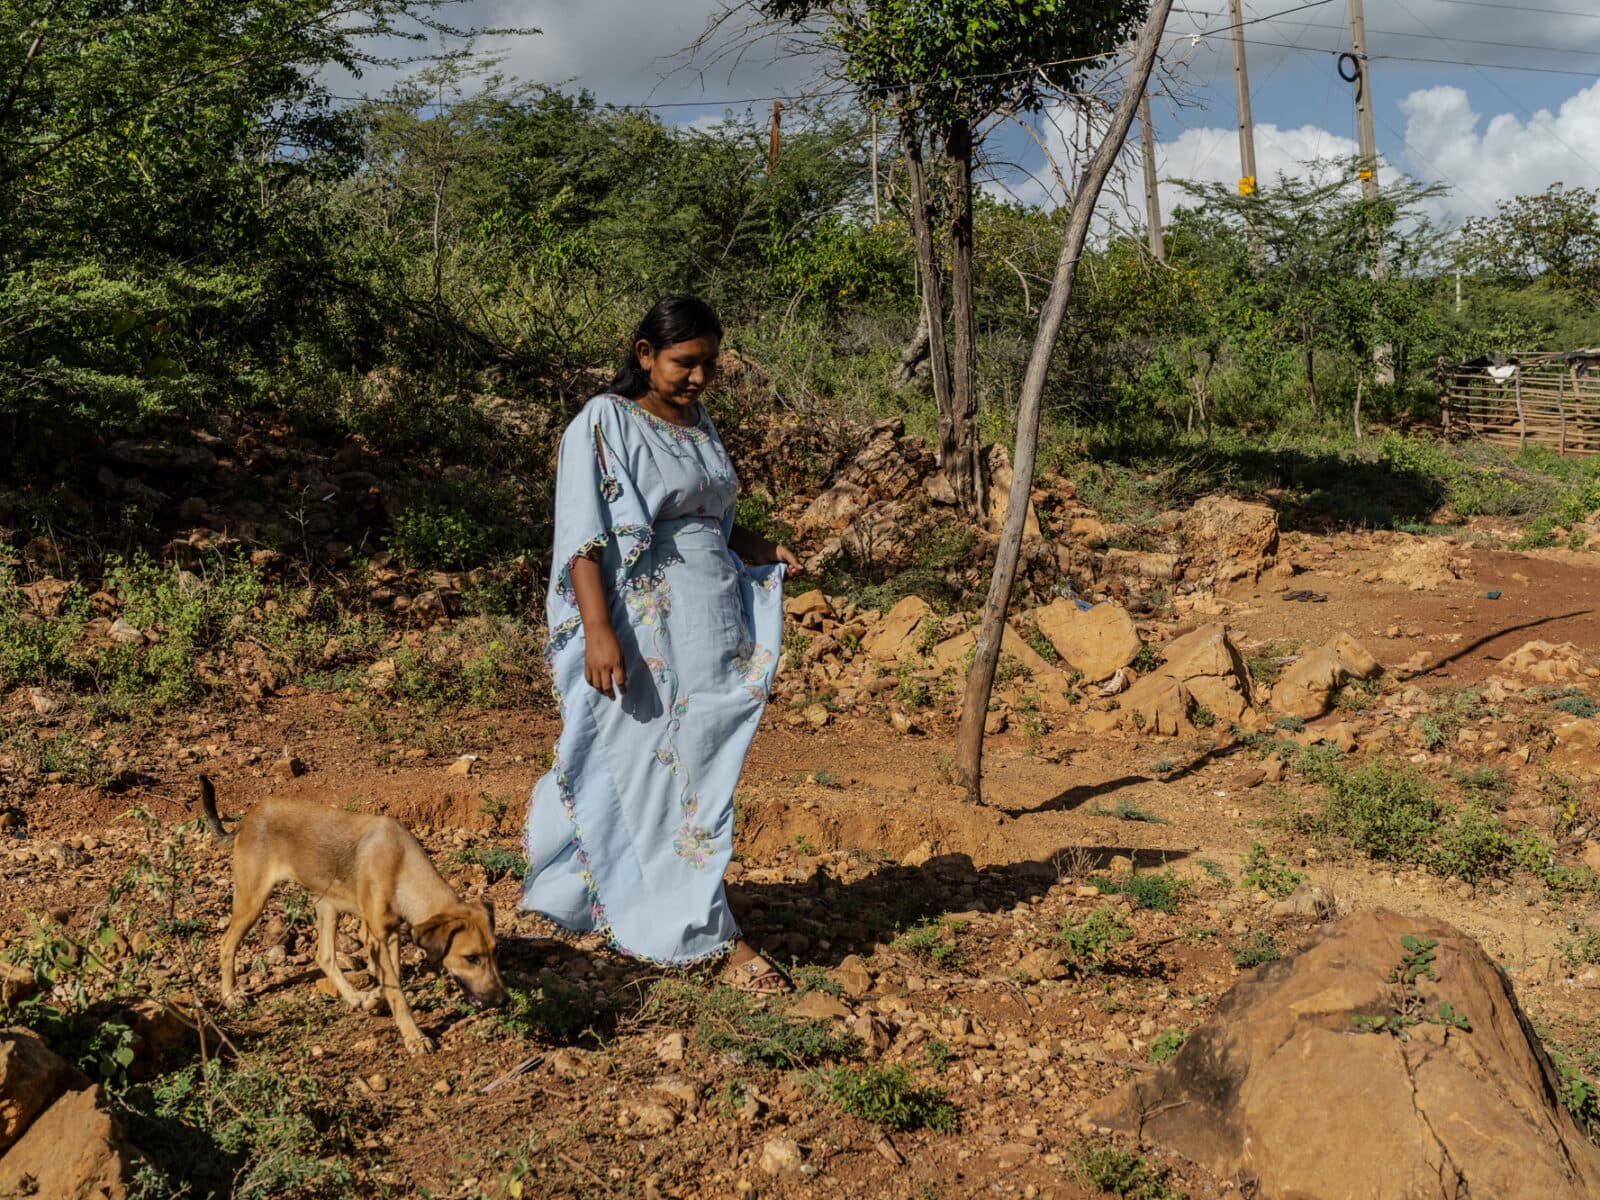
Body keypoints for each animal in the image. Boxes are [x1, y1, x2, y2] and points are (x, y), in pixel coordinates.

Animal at [197, 780, 505, 1049]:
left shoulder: (389, 933)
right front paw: (415, 1038)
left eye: (495, 952)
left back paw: (354, 995)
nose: (503, 999)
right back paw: (231, 995)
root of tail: (247, 818)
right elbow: (396, 989)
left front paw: (373, 999)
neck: (402, 866)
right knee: (227, 944)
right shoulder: (376, 935)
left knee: (324, 956)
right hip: (253, 900)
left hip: (327, 904)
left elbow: (393, 978)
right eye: (471, 958)